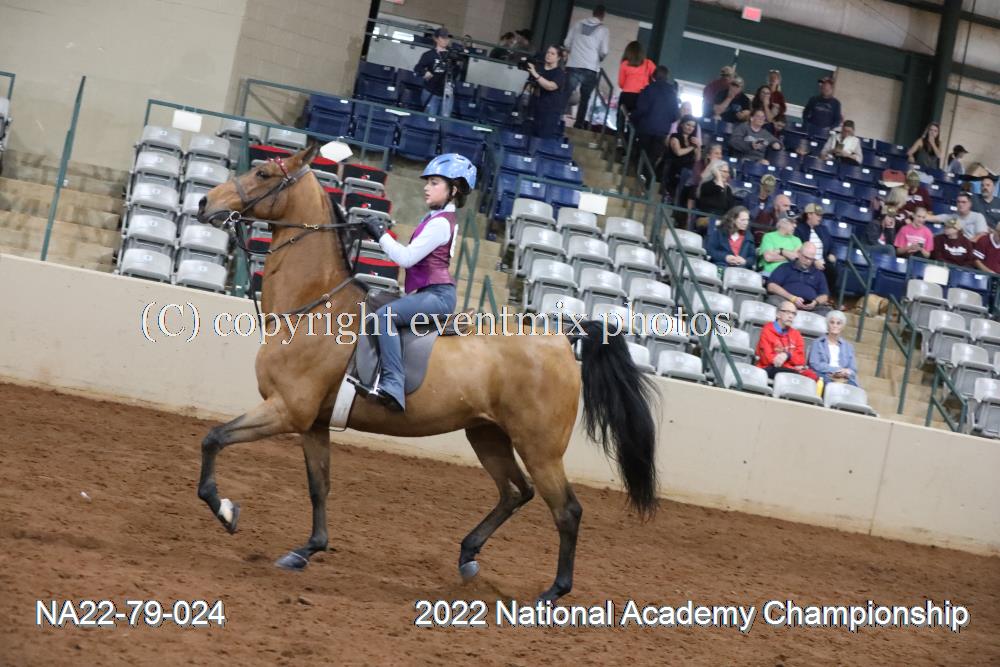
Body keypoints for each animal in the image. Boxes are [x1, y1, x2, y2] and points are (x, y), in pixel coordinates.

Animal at [195, 143, 659, 602]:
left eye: (263, 174)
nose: (205, 203)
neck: (314, 307)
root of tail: (563, 339)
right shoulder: (312, 423)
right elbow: (318, 486)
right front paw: (307, 549)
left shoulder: (286, 411)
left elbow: (213, 439)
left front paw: (226, 510)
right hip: (487, 435)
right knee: (516, 492)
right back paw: (468, 555)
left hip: (540, 449)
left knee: (566, 510)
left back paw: (553, 591)